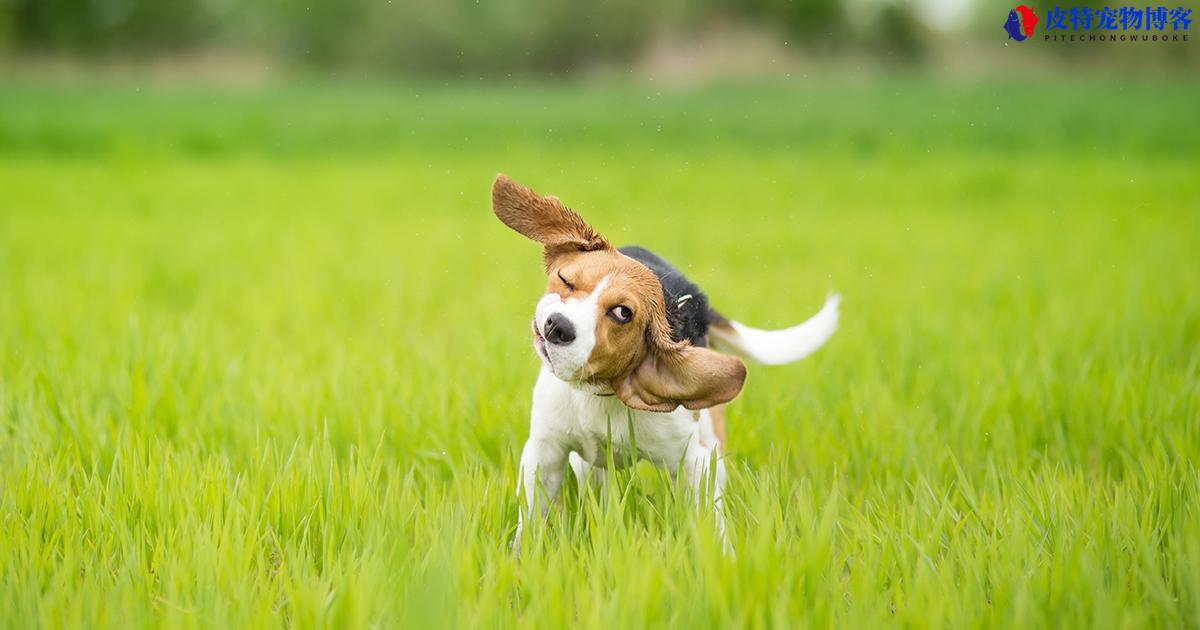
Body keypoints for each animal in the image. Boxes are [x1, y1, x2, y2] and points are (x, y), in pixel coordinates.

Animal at [492, 174, 840, 547]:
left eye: (622, 313)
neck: (601, 392)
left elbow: (709, 521)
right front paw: (522, 555)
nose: (557, 326)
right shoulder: (545, 451)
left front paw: (720, 557)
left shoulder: (696, 462)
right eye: (566, 280)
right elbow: (531, 518)